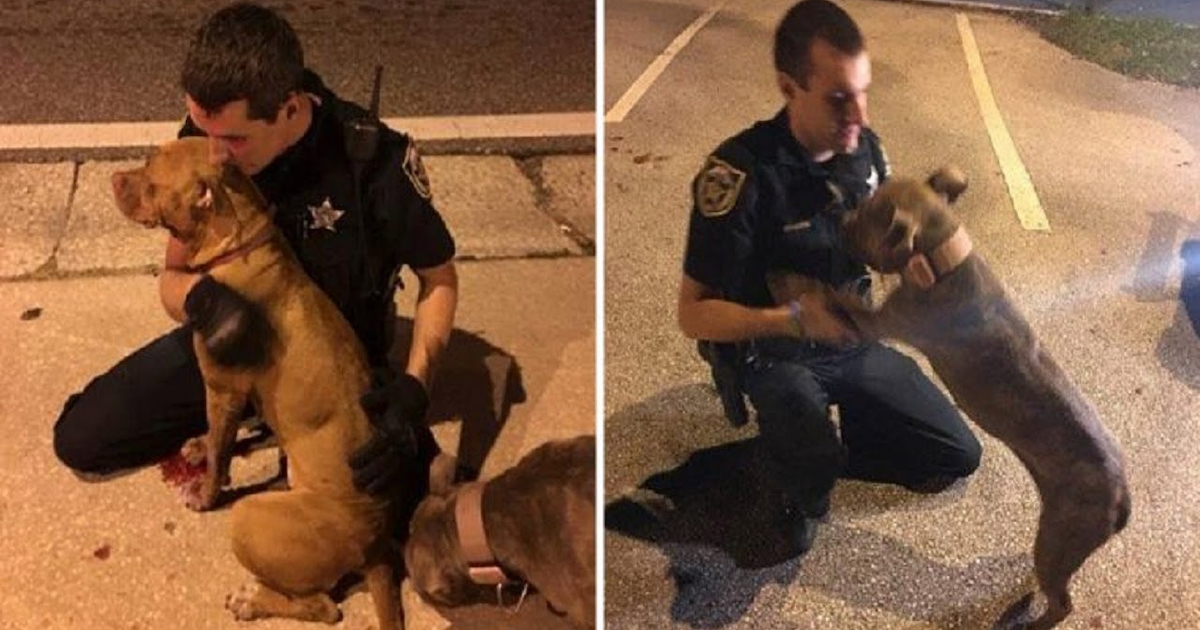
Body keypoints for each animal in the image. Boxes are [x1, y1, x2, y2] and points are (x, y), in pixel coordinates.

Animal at [112, 137, 420, 628]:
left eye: (151, 172)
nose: (113, 179)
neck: (239, 243)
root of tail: (374, 543)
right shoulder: (237, 392)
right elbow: (225, 436)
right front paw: (202, 445)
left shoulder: (221, 388)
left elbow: (220, 452)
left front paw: (206, 490)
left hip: (249, 517)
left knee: (325, 607)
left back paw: (253, 600)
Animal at [772, 165, 1128, 628]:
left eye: (866, 217)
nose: (837, 218)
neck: (943, 259)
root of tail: (1122, 498)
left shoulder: (876, 321)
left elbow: (832, 295)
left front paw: (788, 279)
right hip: (1054, 541)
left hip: (1059, 538)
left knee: (1064, 604)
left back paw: (1030, 620)